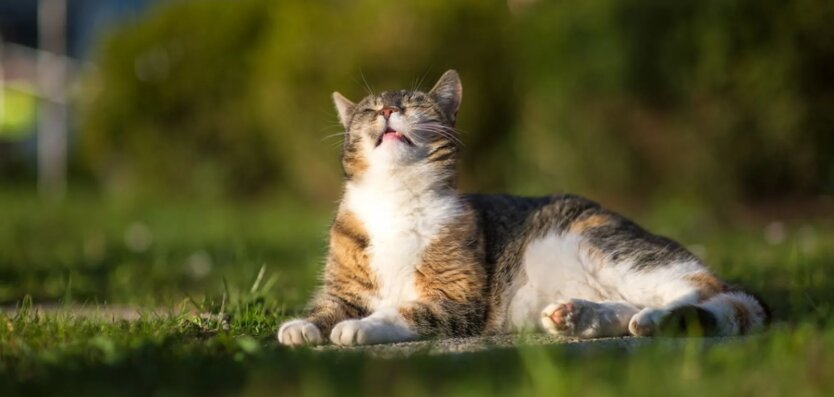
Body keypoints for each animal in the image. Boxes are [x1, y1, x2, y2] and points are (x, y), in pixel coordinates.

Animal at [274, 69, 768, 344]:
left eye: (414, 103)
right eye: (369, 109)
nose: (388, 109)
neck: (396, 197)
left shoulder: (456, 296)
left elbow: (407, 311)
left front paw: (360, 327)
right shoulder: (344, 291)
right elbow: (327, 307)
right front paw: (303, 326)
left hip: (608, 249)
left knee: (701, 288)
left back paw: (655, 318)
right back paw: (584, 316)